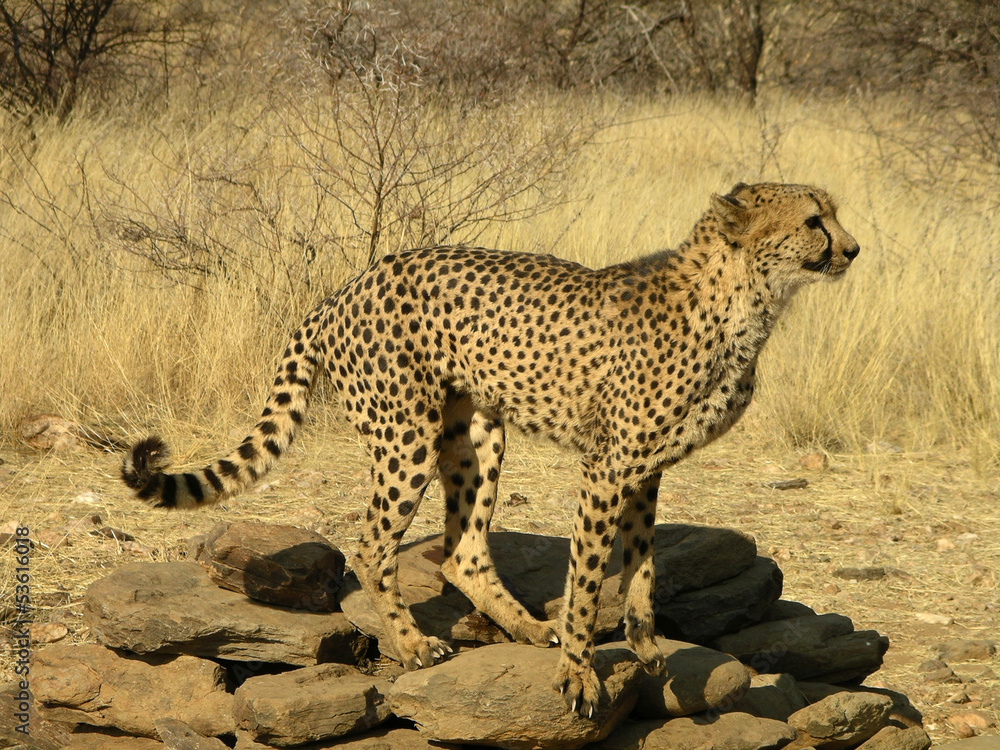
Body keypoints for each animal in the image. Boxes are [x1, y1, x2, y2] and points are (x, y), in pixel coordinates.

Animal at [122, 182, 859, 717]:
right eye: (815, 219)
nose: (853, 251)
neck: (743, 301)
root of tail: (348, 285)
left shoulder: (644, 470)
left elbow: (643, 563)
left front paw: (646, 645)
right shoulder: (608, 466)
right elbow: (588, 577)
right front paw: (579, 675)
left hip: (478, 433)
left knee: (462, 547)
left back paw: (528, 628)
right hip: (407, 438)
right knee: (372, 545)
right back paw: (416, 646)